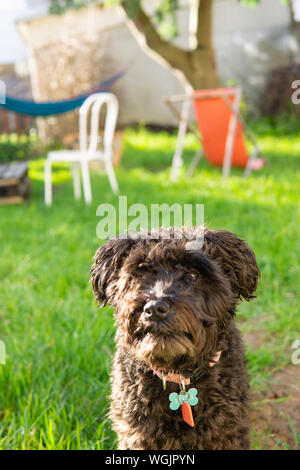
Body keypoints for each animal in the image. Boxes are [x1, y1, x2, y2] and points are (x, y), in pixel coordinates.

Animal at [90, 228, 258, 452]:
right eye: (140, 273)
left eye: (193, 274)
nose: (154, 308)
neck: (178, 374)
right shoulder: (137, 434)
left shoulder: (226, 433)